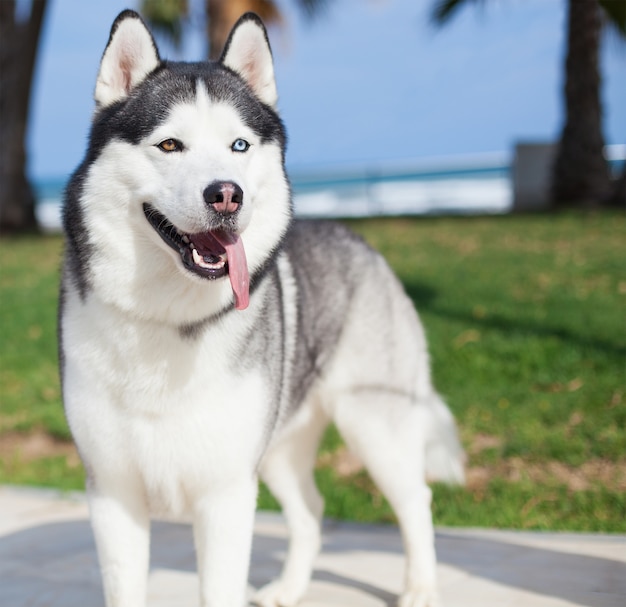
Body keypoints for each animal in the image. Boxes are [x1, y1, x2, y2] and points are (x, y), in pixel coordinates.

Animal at [61, 9, 464, 607]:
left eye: (239, 146)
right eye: (170, 145)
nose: (227, 194)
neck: (170, 316)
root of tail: (356, 238)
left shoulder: (226, 494)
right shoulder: (112, 493)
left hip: (374, 424)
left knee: (416, 500)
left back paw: (419, 588)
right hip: (279, 445)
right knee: (312, 510)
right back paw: (290, 587)